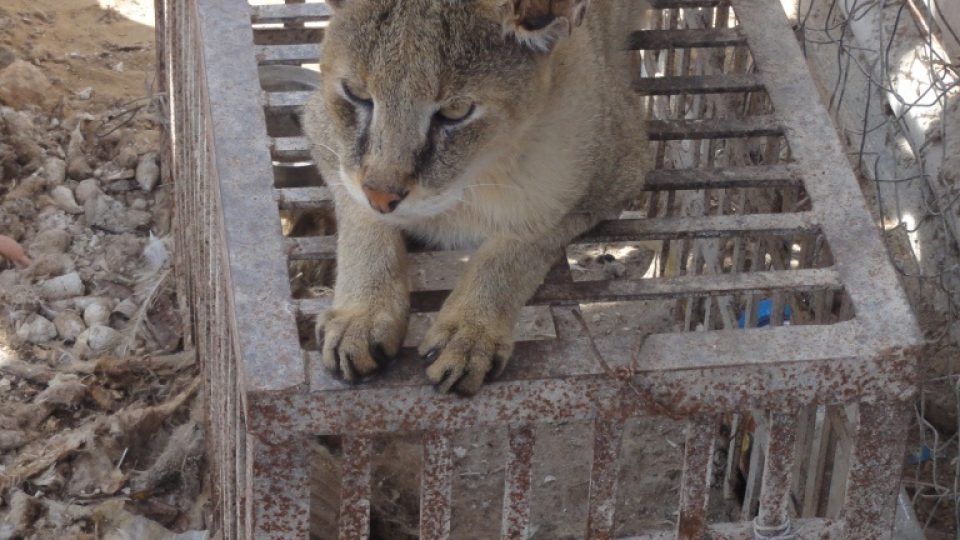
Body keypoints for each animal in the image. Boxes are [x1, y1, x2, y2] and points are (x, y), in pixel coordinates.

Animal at [304, 0, 656, 396]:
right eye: (356, 94)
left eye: (455, 113)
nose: (381, 195)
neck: (473, 174)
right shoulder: (326, 141)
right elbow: (363, 223)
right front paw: (362, 315)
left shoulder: (617, 171)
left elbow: (516, 246)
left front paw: (471, 332)